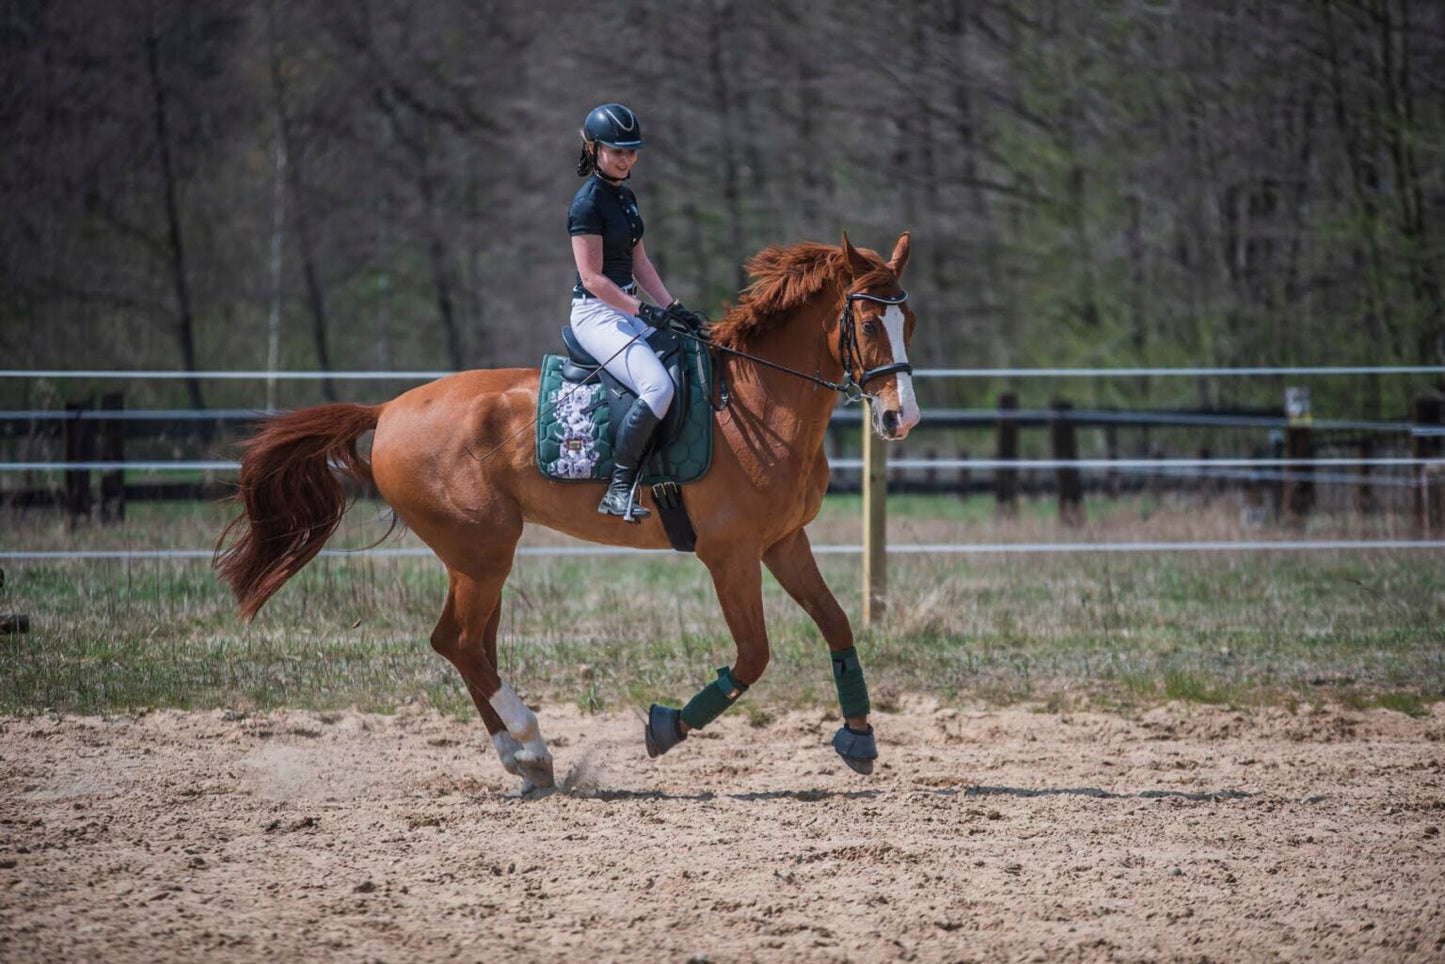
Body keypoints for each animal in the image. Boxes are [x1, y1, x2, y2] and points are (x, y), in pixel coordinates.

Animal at [213, 231, 913, 792]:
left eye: (909, 320)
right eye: (868, 325)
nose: (900, 419)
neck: (757, 403)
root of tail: (386, 410)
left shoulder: (784, 542)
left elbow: (837, 623)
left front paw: (859, 737)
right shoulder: (731, 556)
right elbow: (752, 657)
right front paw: (665, 728)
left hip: (476, 558)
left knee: (470, 644)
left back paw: (526, 763)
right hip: (482, 552)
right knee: (459, 642)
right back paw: (530, 743)